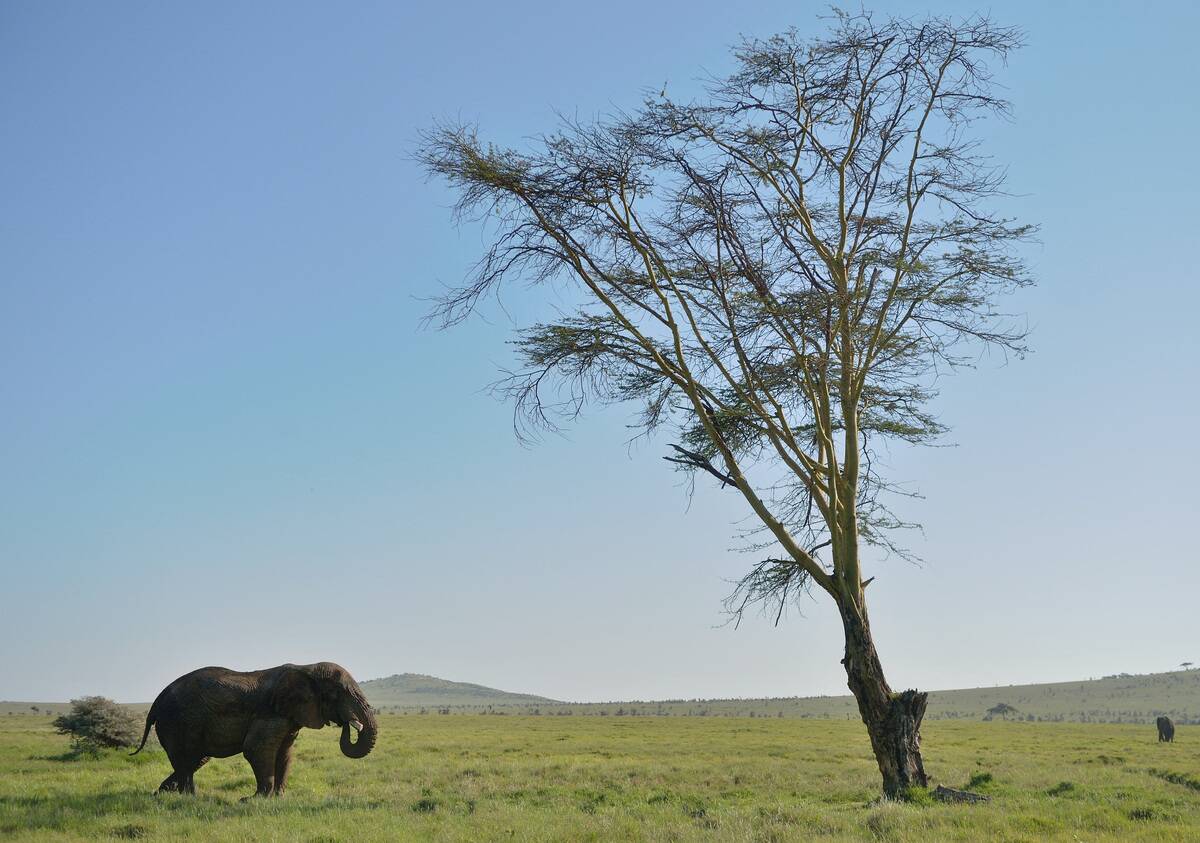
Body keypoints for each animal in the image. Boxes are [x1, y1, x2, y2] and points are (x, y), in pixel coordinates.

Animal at [131, 662, 377, 798]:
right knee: (186, 758)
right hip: (177, 722)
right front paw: (253, 800)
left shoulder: (288, 716)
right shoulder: (270, 713)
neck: (305, 668)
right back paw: (189, 798)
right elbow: (256, 749)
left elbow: (285, 754)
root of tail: (155, 702)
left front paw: (278, 798)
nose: (347, 722)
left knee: (195, 760)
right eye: (339, 693)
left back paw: (161, 794)